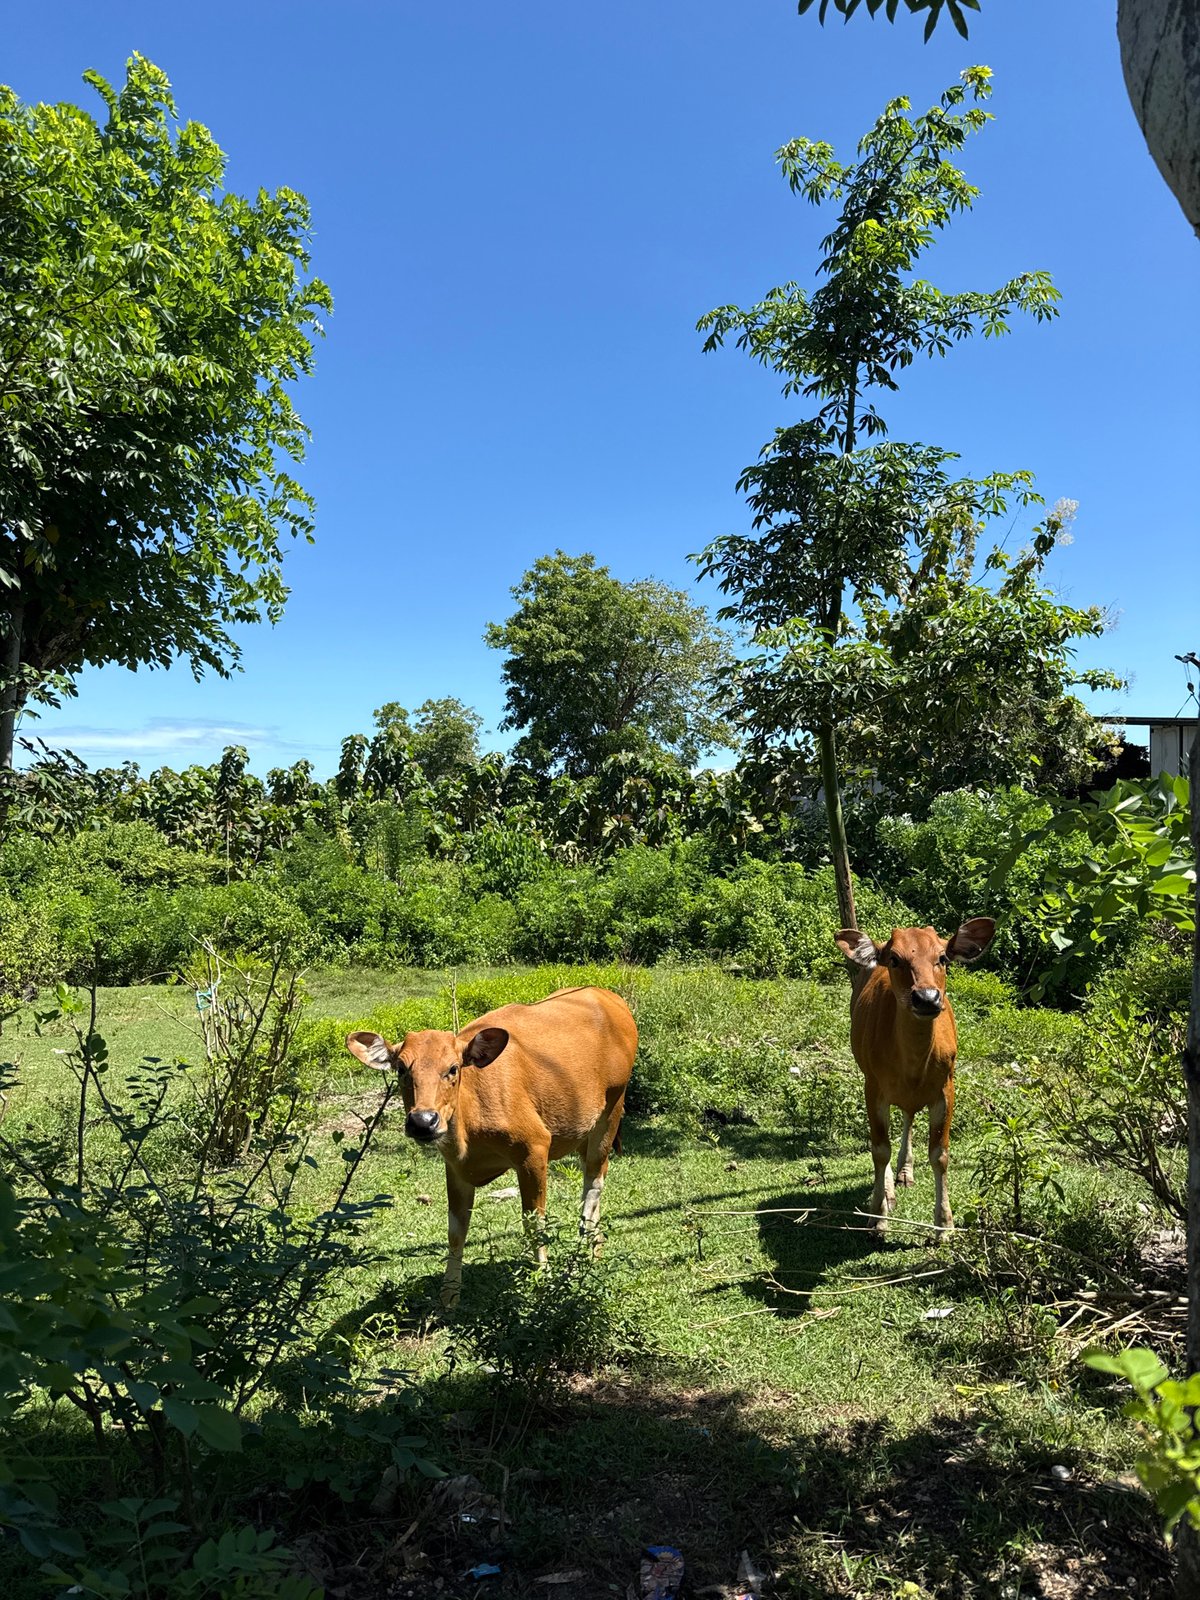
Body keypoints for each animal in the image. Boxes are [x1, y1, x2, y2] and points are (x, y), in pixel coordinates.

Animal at [345, 986, 637, 1308]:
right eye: (400, 1068)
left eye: (453, 1068)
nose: (423, 1121)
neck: (469, 1125)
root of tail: (609, 997)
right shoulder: (455, 1168)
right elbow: (456, 1231)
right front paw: (449, 1295)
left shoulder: (534, 1149)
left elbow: (534, 1224)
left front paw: (543, 1281)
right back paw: (594, 1248)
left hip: (612, 1108)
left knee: (593, 1184)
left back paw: (582, 1255)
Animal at [834, 919, 995, 1238]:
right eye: (894, 959)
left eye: (942, 957)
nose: (927, 998)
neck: (912, 1064)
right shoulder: (873, 1087)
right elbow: (879, 1150)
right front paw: (878, 1215)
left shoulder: (946, 1088)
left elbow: (940, 1154)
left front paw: (944, 1223)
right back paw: (888, 1191)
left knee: (908, 1116)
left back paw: (905, 1172)